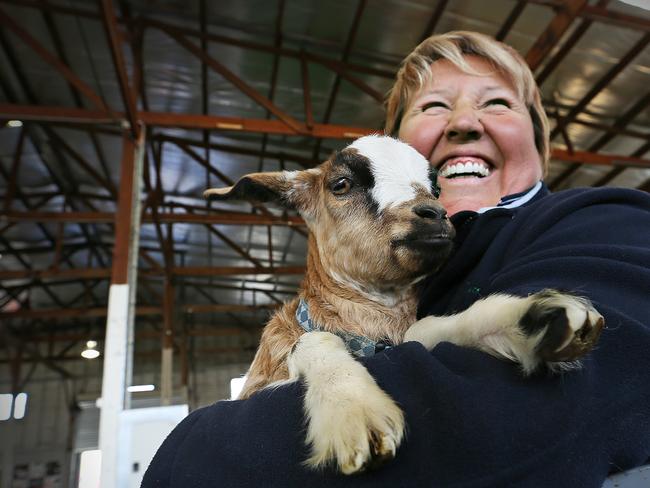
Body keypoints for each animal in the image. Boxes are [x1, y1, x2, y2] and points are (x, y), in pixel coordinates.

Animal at [204, 133, 604, 472]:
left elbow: (425, 329)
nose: (434, 215)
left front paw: (533, 318)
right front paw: (352, 408)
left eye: (437, 187)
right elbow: (315, 340)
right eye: (341, 184)